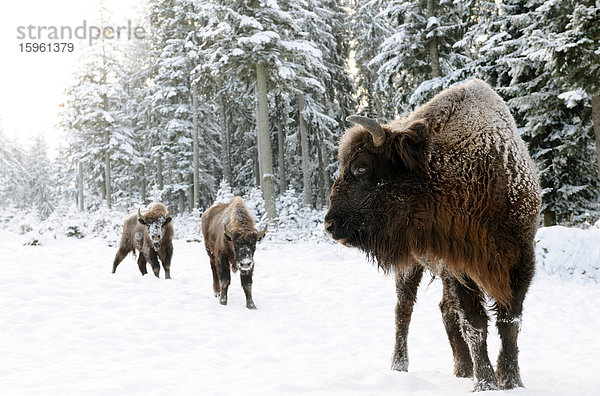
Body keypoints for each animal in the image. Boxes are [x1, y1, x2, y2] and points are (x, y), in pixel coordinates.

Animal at [326, 79, 540, 392]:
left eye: (361, 167)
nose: (330, 225)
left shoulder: (521, 261)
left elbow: (509, 321)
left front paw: (511, 381)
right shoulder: (461, 270)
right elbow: (475, 325)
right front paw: (486, 383)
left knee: (444, 312)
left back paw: (462, 369)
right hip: (410, 268)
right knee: (404, 311)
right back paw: (400, 366)